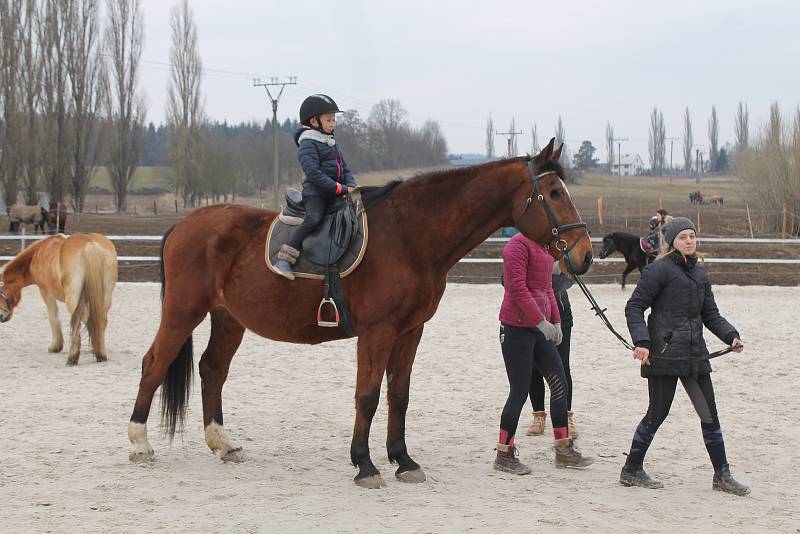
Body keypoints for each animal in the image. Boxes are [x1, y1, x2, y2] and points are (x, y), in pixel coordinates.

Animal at [123, 138, 588, 490]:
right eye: (554, 193)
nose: (583, 255)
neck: (408, 236)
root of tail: (185, 224)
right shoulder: (377, 332)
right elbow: (367, 396)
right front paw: (364, 464)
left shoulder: (410, 332)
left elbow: (399, 396)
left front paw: (403, 460)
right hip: (183, 312)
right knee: (154, 364)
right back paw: (140, 443)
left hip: (227, 318)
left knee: (212, 369)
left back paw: (223, 443)